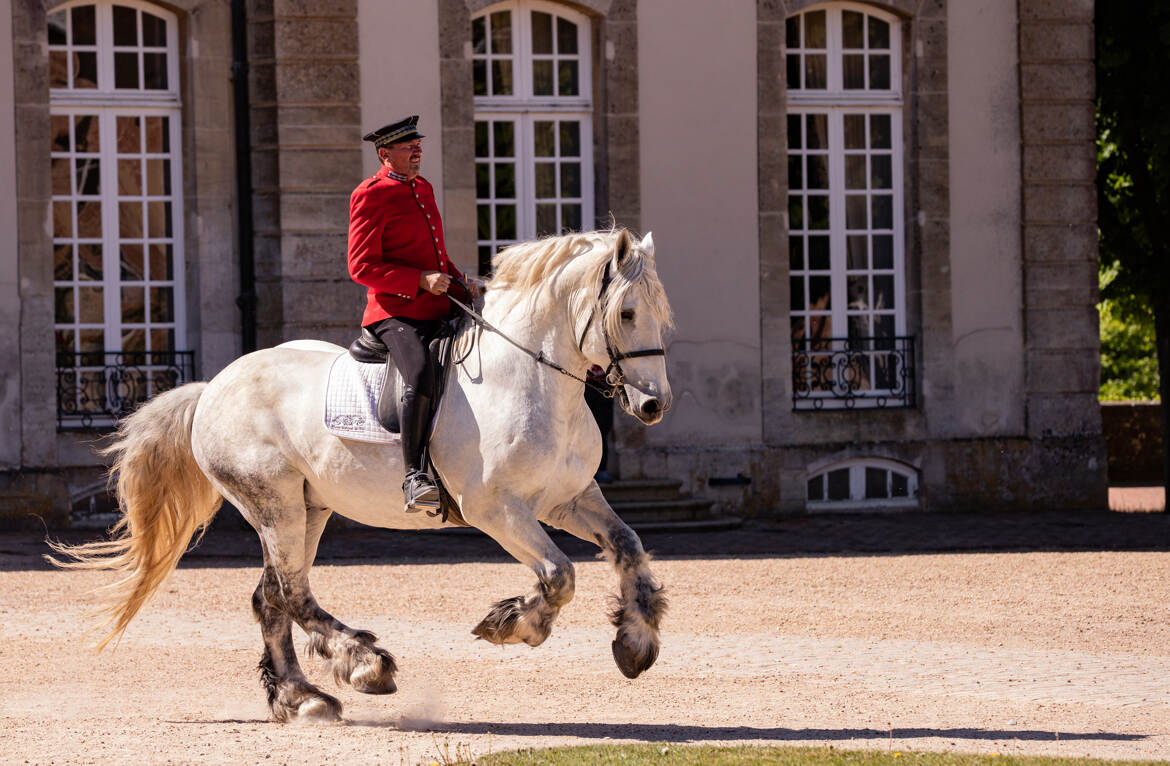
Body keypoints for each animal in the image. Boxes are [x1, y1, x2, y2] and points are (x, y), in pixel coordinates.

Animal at [49, 227, 674, 723]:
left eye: (661, 315)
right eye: (625, 314)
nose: (653, 406)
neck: (530, 379)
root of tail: (212, 388)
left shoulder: (567, 499)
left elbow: (628, 545)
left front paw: (635, 641)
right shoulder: (496, 510)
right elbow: (559, 576)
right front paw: (514, 623)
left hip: (308, 509)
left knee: (270, 597)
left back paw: (300, 697)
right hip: (274, 505)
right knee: (292, 594)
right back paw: (364, 663)